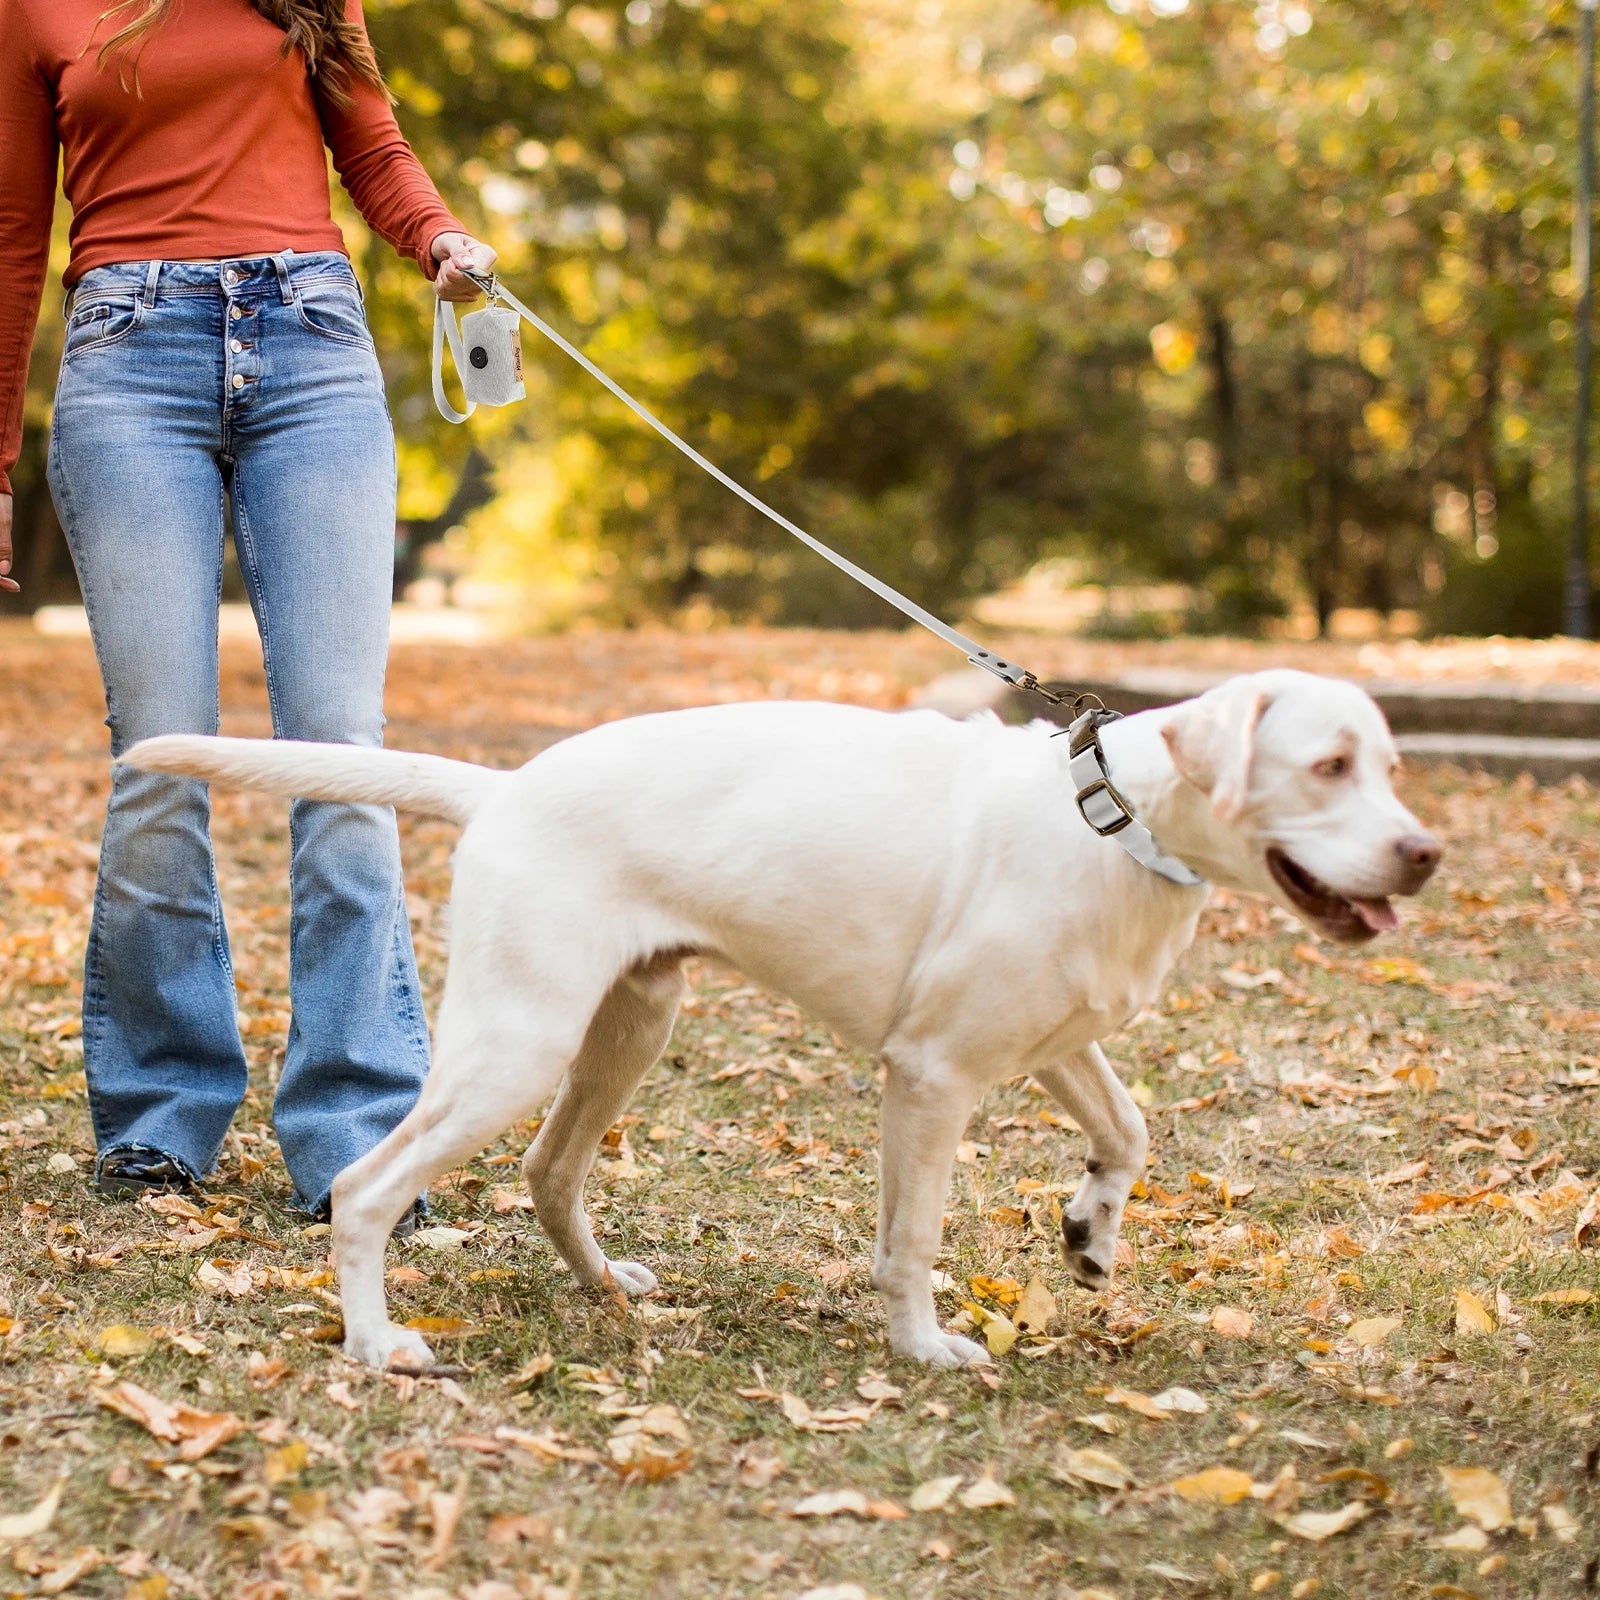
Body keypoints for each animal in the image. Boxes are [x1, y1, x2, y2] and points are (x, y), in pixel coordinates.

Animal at [128, 668, 1440, 1369]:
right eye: (1328, 765)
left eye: (1387, 763)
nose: (1424, 854)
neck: (1113, 817)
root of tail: (505, 788)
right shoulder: (932, 1076)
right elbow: (911, 1239)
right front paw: (922, 1348)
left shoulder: (1054, 1044)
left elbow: (1130, 1131)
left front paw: (1089, 1233)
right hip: (517, 1045)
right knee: (366, 1188)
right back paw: (373, 1343)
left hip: (625, 1029)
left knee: (551, 1173)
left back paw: (605, 1288)